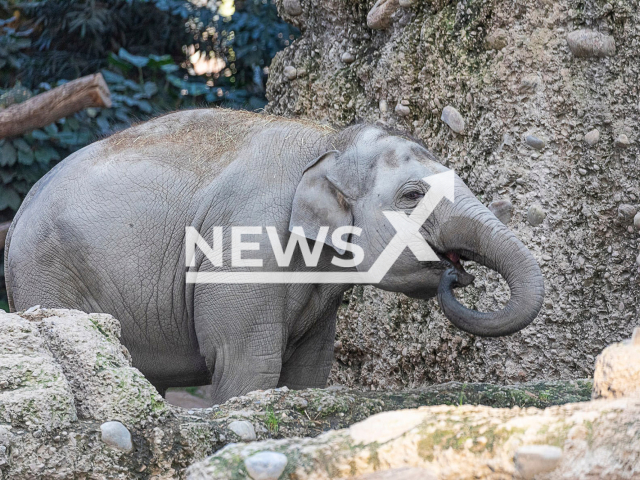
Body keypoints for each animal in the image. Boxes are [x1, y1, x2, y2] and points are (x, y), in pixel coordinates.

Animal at [6, 108, 544, 402]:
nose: (457, 272)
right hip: (48, 274)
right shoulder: (247, 242)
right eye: (413, 195)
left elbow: (309, 371)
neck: (325, 139)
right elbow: (247, 364)